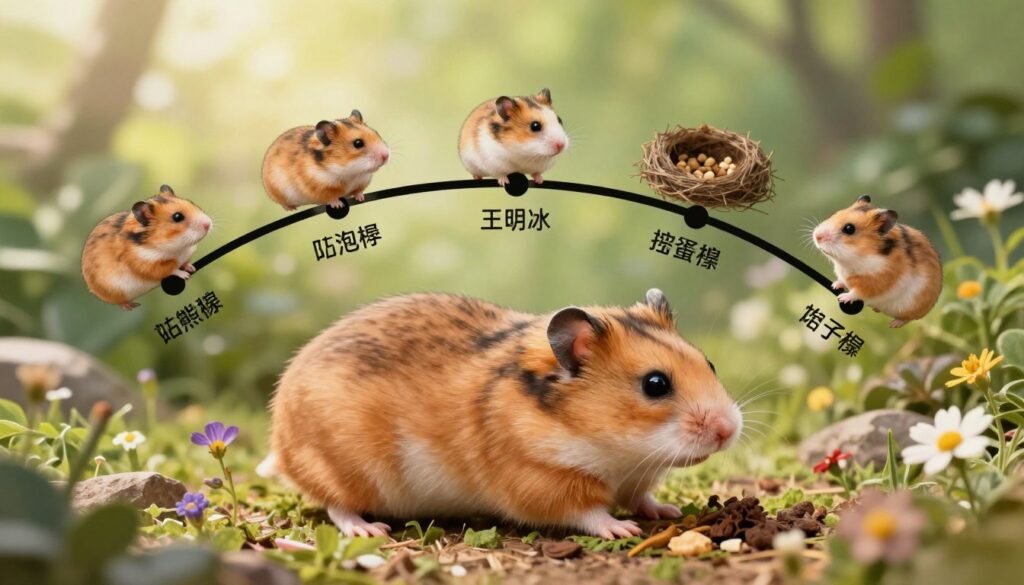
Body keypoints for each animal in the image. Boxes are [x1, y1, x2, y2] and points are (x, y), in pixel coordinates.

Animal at [82, 185, 212, 310]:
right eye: (177, 217)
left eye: (191, 202)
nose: (208, 224)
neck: (177, 248)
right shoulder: (147, 265)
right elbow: (170, 270)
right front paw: (185, 275)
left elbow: (184, 263)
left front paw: (191, 268)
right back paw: (131, 306)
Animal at [262, 110, 390, 210]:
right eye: (358, 143)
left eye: (376, 133)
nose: (386, 156)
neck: (350, 172)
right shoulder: (318, 187)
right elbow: (330, 198)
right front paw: (338, 205)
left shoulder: (362, 181)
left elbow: (358, 191)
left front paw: (361, 198)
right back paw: (291, 209)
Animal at [270, 289, 741, 538]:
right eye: (655, 385)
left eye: (710, 364)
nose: (728, 430)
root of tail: (280, 442)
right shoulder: (539, 481)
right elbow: (587, 512)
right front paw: (624, 531)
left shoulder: (636, 478)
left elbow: (641, 497)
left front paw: (668, 513)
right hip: (344, 468)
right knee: (336, 505)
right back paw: (369, 530)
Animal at [812, 195, 942, 328]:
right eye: (835, 213)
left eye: (849, 229)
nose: (817, 236)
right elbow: (842, 281)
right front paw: (835, 285)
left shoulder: (876, 282)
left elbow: (858, 292)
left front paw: (843, 297)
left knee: (910, 318)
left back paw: (894, 324)